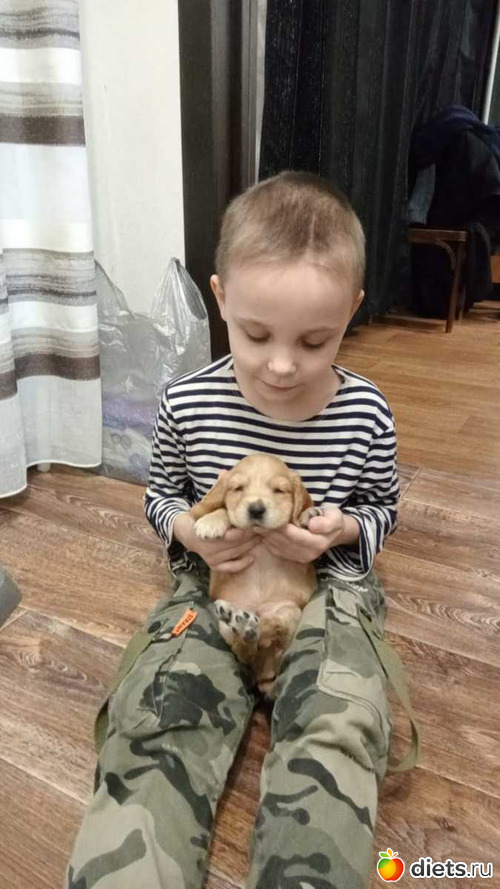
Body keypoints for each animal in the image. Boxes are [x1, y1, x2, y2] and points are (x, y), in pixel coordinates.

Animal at [189, 453, 322, 695]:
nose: (256, 509)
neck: (260, 536)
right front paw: (211, 521)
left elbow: (297, 518)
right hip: (225, 628)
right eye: (238, 488)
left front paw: (308, 513)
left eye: (279, 490)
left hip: (291, 612)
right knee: (244, 650)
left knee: (274, 640)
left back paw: (254, 624)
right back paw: (242, 623)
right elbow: (224, 510)